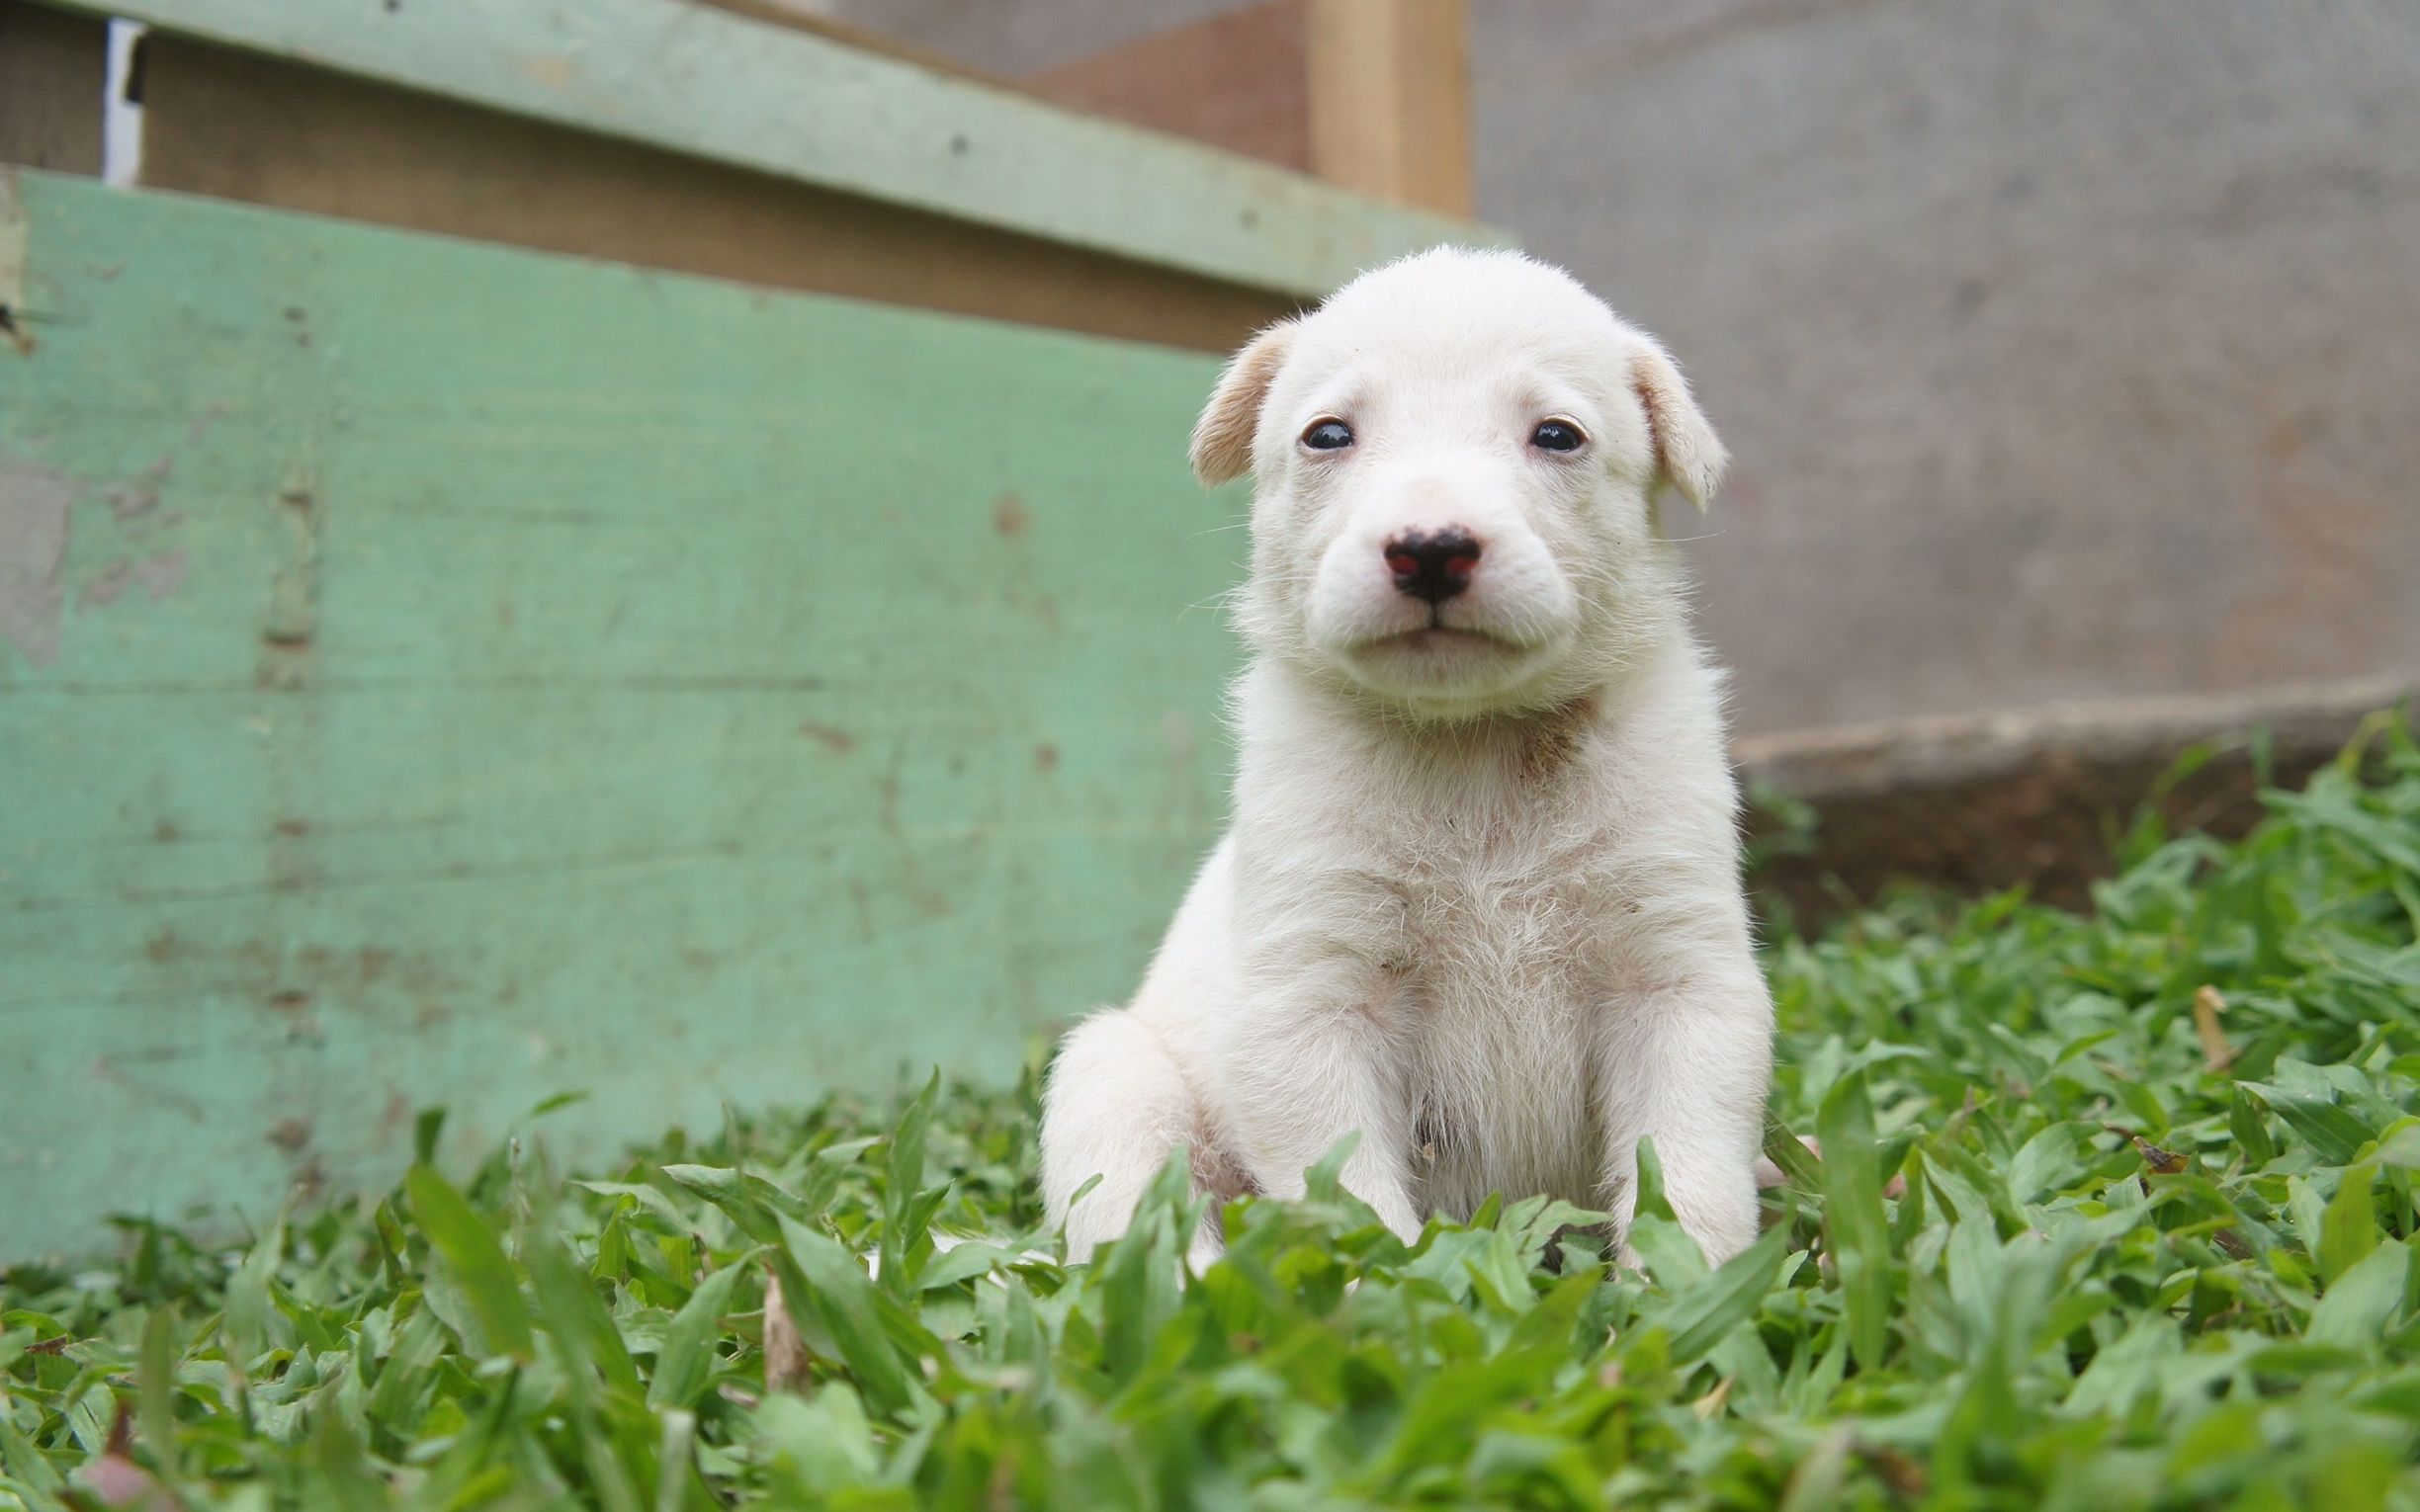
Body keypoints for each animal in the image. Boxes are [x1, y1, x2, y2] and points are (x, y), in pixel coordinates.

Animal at [1045, 244, 1780, 1257]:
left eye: (1557, 435)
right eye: (1327, 435)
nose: (1431, 548)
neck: (1472, 743)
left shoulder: (1677, 970)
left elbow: (1689, 1165)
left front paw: (1687, 1281)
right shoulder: (1313, 992)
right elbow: (1347, 1191)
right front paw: (1381, 1284)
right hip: (1112, 1076)